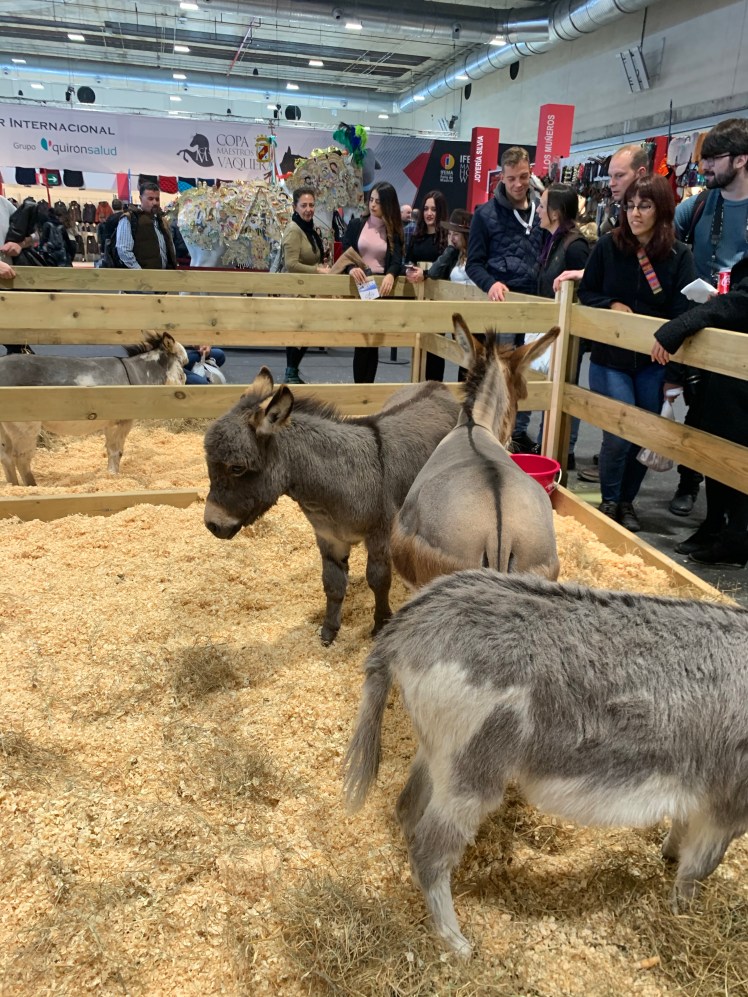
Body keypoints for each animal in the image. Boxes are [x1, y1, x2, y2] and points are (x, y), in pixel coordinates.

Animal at [0, 333, 188, 486]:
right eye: (183, 362)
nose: (185, 383)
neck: (137, 374)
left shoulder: (109, 423)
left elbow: (110, 449)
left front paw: (110, 475)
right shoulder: (122, 422)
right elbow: (117, 451)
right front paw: (114, 476)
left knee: (6, 456)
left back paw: (13, 487)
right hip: (25, 426)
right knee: (20, 458)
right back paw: (32, 487)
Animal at [203, 368, 460, 644]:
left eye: (237, 468)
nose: (212, 524)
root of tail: (435, 384)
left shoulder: (380, 536)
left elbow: (378, 580)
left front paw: (380, 624)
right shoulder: (329, 538)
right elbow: (333, 584)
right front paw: (328, 631)